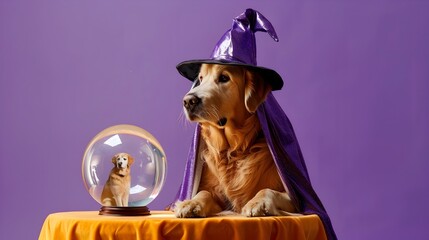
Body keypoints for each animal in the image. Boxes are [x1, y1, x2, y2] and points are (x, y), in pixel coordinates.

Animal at [174, 63, 298, 218]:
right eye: (201, 78)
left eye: (224, 78)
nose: (188, 101)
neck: (234, 150)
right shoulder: (217, 195)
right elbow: (204, 192)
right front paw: (190, 203)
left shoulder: (294, 199)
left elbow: (268, 190)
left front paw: (257, 203)